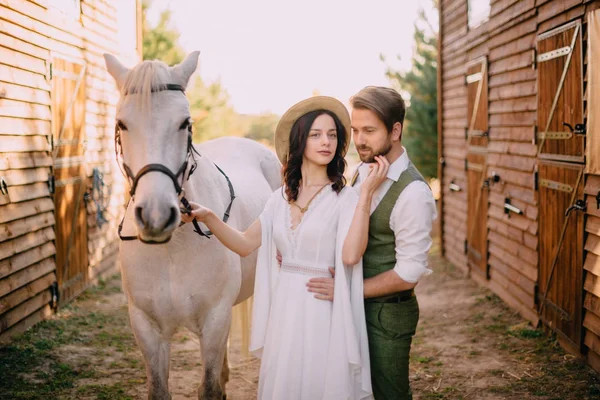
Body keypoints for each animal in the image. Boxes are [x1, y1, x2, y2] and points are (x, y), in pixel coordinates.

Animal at [103, 51, 282, 398]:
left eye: (185, 123)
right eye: (122, 124)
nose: (156, 215)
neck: (172, 250)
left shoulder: (214, 320)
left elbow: (210, 387)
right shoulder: (146, 327)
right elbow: (159, 389)